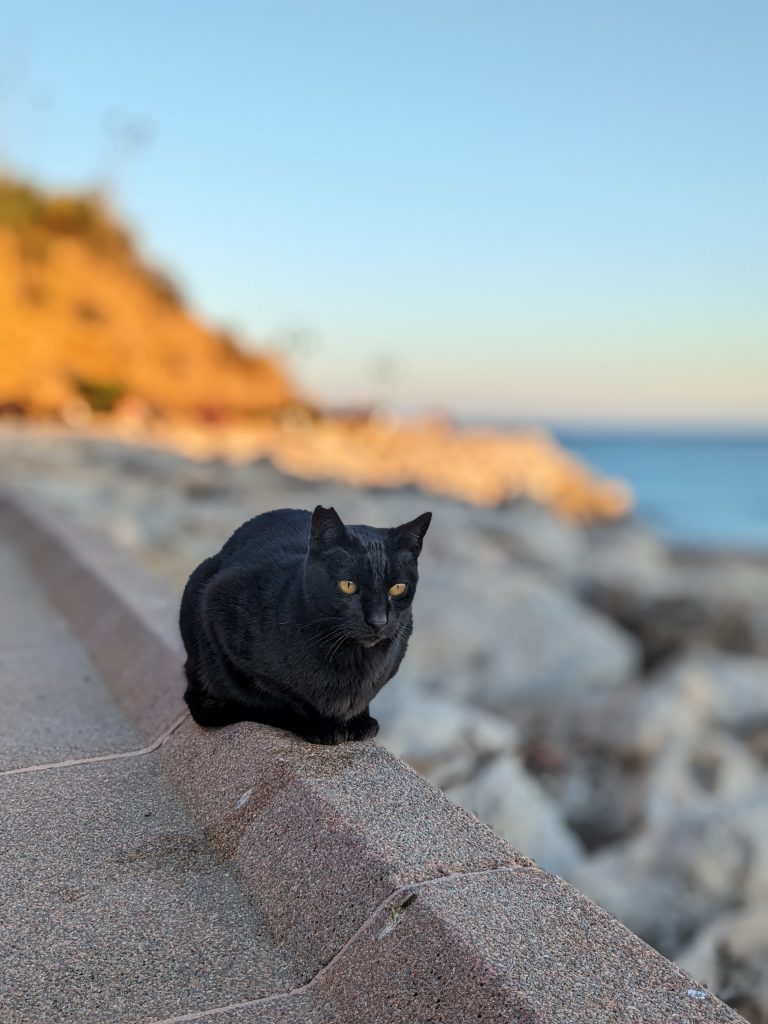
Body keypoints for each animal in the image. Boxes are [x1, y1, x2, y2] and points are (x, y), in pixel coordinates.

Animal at [180, 503, 434, 745]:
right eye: (348, 585)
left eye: (398, 588)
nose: (378, 620)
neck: (351, 659)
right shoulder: (218, 605)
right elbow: (274, 698)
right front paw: (320, 726)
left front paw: (358, 721)